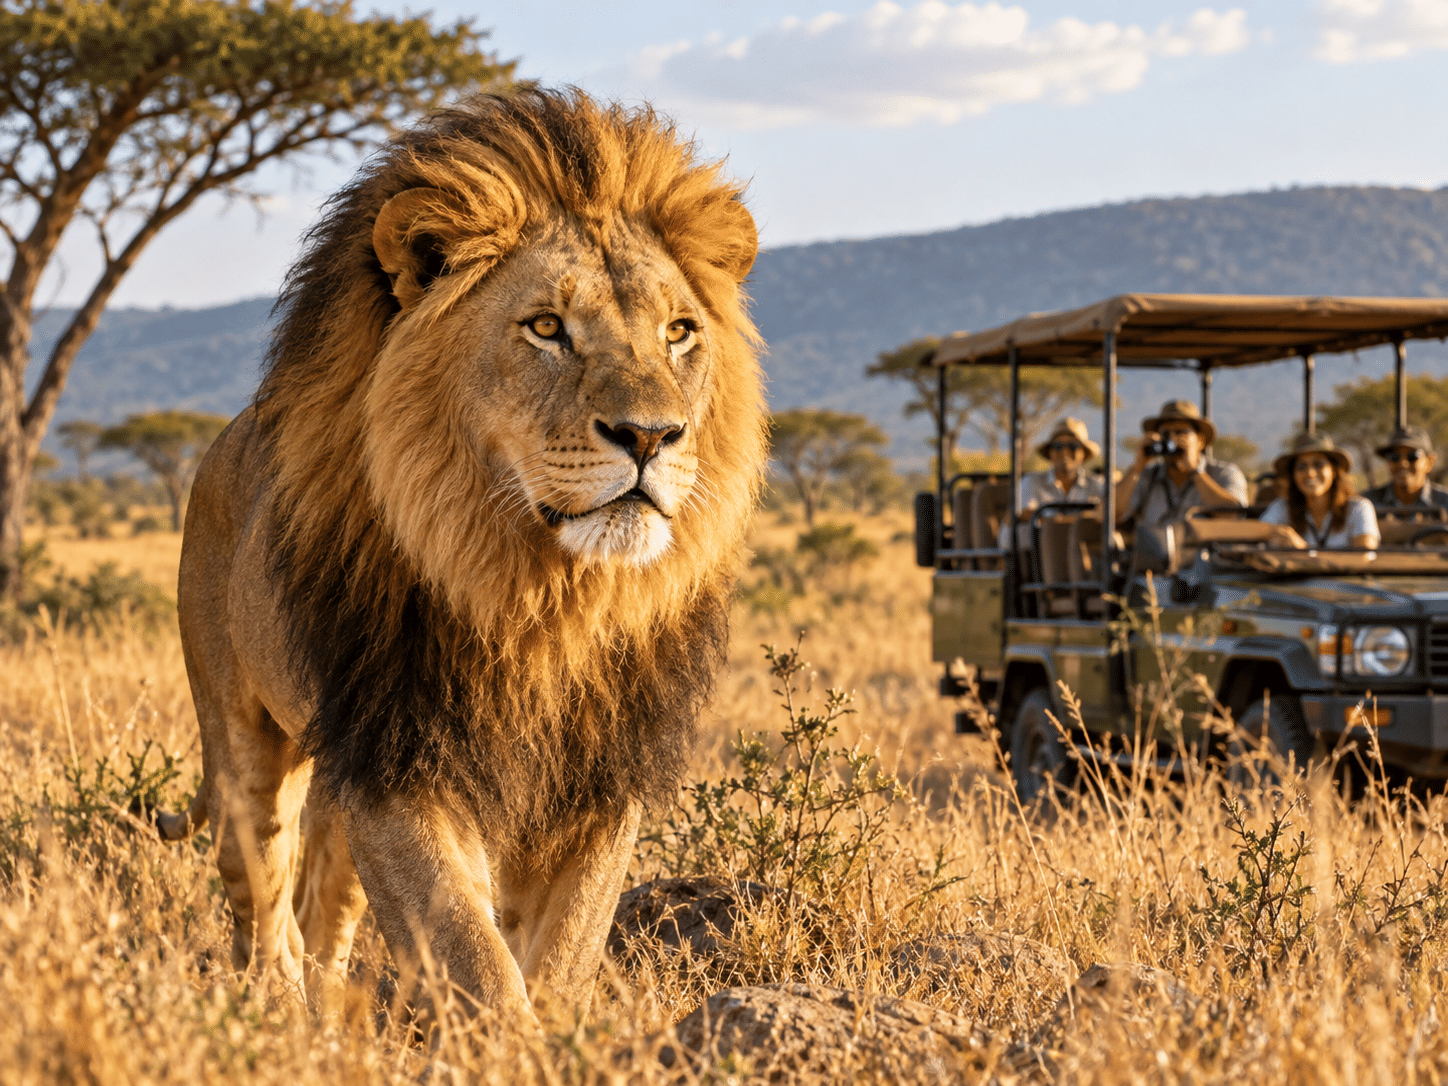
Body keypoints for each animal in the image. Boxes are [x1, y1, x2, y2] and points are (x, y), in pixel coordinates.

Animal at [157, 88, 765, 1022]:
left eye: (679, 332)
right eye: (546, 328)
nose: (651, 435)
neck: (542, 595)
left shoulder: (599, 777)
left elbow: (565, 947)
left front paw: (557, 1032)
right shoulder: (403, 760)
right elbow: (468, 945)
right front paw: (506, 1037)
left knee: (326, 902)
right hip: (242, 735)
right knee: (259, 888)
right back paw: (274, 1009)